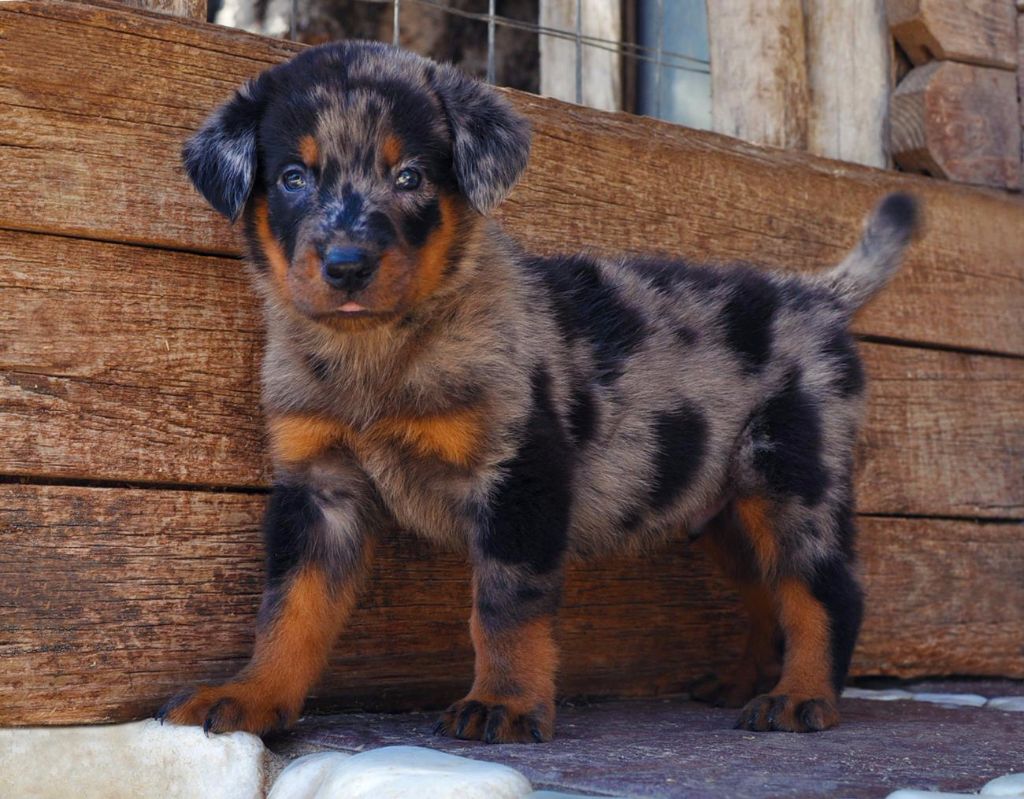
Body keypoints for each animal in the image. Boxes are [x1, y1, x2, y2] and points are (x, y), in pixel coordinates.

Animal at [159, 38, 921, 741]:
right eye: (293, 176)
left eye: (409, 176)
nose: (347, 266)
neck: (377, 353)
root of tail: (815, 297)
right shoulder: (320, 488)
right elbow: (290, 609)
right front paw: (252, 696)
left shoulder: (519, 473)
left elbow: (505, 607)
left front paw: (504, 703)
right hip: (727, 511)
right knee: (767, 596)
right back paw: (743, 683)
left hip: (789, 476)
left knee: (823, 589)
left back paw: (800, 697)